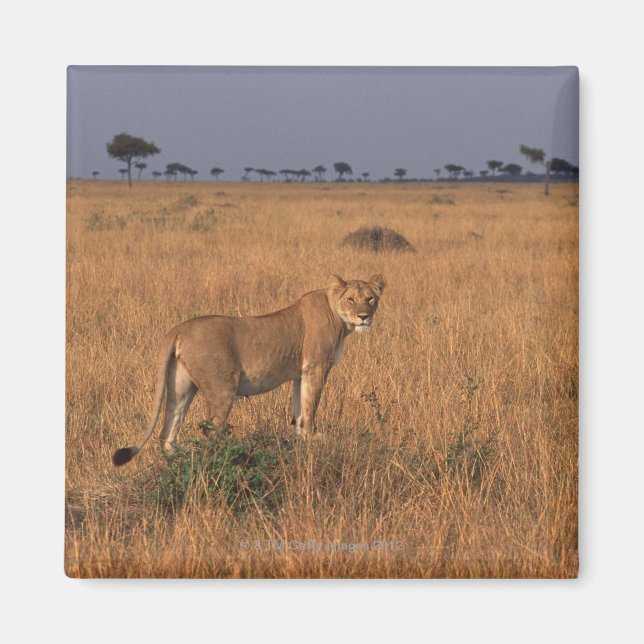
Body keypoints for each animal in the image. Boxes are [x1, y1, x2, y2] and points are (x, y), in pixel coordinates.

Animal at [112, 274, 385, 466]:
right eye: (351, 299)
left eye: (370, 298)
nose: (364, 316)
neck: (337, 314)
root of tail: (179, 328)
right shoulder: (316, 367)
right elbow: (310, 408)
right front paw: (312, 441)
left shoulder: (300, 374)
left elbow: (299, 409)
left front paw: (300, 439)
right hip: (222, 387)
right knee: (209, 430)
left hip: (181, 387)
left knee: (167, 433)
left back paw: (176, 465)